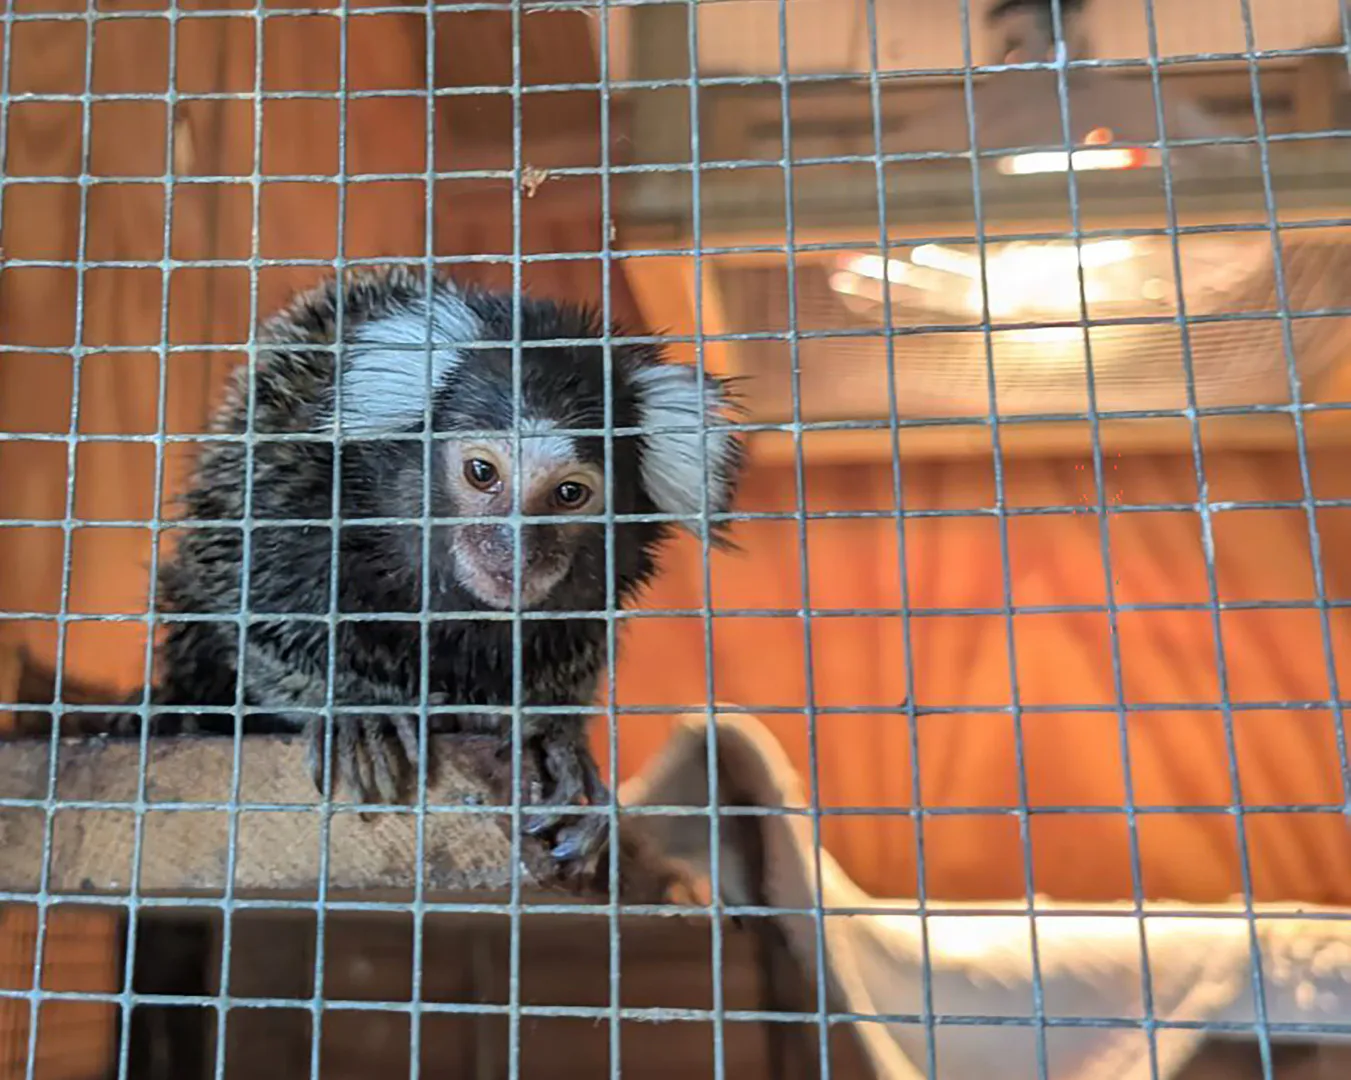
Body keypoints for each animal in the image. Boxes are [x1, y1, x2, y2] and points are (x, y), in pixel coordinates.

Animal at [136, 266, 744, 871]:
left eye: (570, 493)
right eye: (482, 472)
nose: (514, 550)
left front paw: (551, 738)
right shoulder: (287, 488)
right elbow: (252, 614)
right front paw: (356, 709)